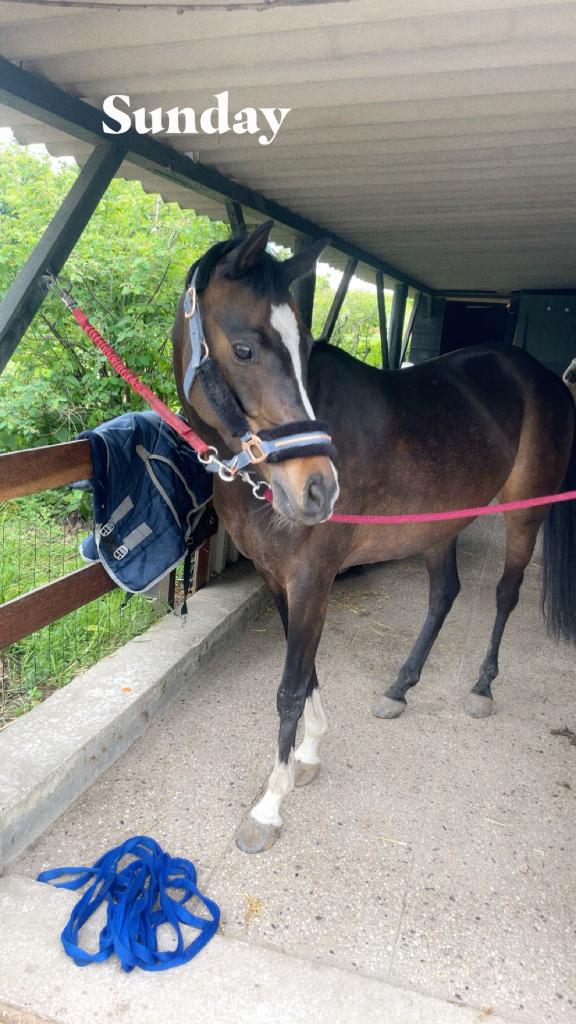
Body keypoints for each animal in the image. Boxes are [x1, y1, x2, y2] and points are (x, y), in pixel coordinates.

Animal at [172, 220, 576, 854]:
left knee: (505, 595)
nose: (318, 490)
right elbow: (306, 671)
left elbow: (290, 687)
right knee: (444, 595)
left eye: (305, 346)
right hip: (437, 528)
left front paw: (269, 806)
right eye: (244, 348)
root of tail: (541, 377)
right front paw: (309, 753)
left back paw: (482, 688)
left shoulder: (312, 580)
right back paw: (399, 688)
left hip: (524, 517)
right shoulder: (279, 580)